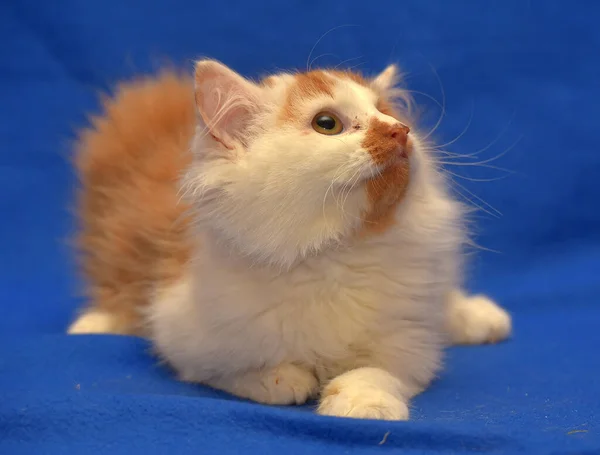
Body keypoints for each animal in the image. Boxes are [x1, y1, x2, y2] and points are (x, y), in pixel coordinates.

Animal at [70, 59, 510, 420]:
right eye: (327, 123)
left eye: (386, 113)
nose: (399, 131)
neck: (334, 253)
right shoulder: (182, 333)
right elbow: (232, 369)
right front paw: (283, 379)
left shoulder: (409, 338)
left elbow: (375, 371)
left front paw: (362, 403)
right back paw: (93, 323)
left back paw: (481, 318)